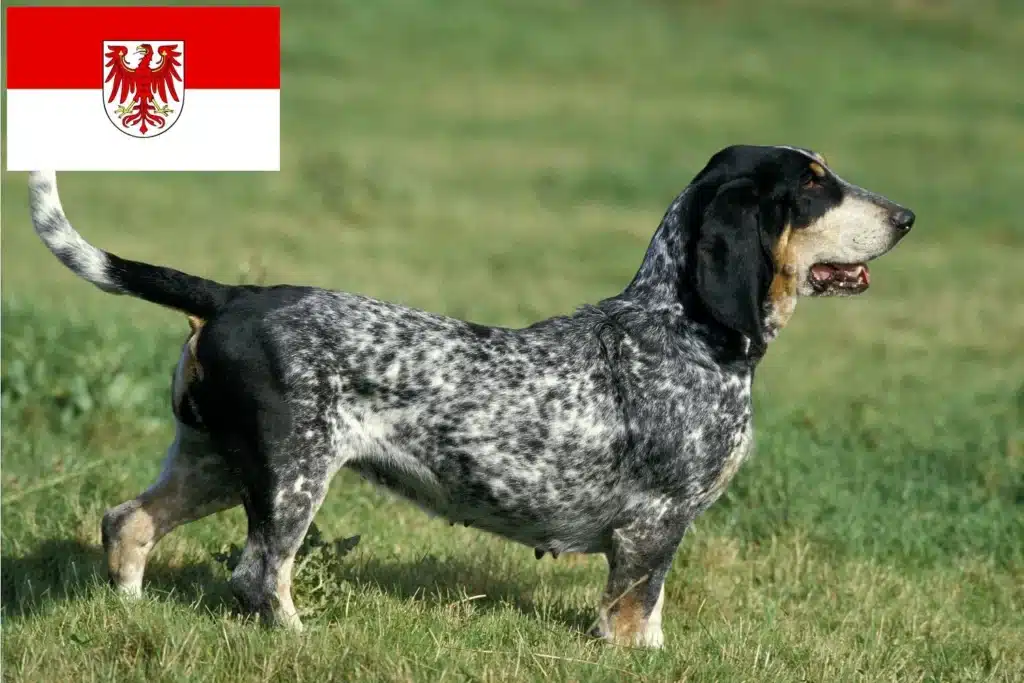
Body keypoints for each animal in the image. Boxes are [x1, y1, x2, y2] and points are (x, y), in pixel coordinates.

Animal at [29, 144, 913, 647]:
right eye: (815, 187)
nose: (907, 214)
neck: (680, 323)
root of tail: (232, 296)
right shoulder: (654, 526)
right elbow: (632, 618)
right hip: (291, 477)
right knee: (257, 575)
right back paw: (302, 642)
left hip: (215, 460)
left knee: (128, 521)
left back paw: (130, 610)